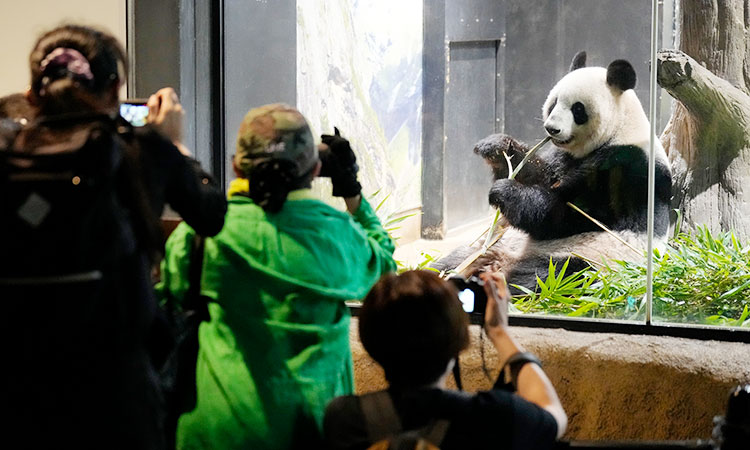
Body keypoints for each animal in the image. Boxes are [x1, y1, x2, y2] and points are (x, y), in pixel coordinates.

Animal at [434, 51, 676, 292]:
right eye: (554, 103)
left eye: (578, 109)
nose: (551, 129)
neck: (620, 129)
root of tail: (500, 261)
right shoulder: (564, 157)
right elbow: (542, 175)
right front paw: (497, 147)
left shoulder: (627, 169)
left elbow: (568, 215)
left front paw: (504, 192)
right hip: (491, 245)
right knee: (452, 260)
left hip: (588, 259)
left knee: (550, 276)